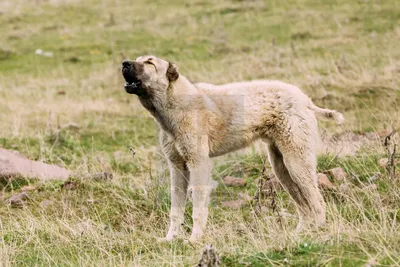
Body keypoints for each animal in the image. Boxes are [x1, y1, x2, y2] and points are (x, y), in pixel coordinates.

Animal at [120, 55, 342, 244]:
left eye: (149, 62)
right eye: (138, 59)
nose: (124, 63)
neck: (176, 102)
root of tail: (305, 99)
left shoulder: (199, 164)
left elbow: (198, 208)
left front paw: (195, 240)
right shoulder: (177, 167)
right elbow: (176, 209)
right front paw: (170, 239)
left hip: (297, 162)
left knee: (317, 202)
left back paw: (316, 233)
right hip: (282, 168)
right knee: (304, 206)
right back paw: (299, 234)